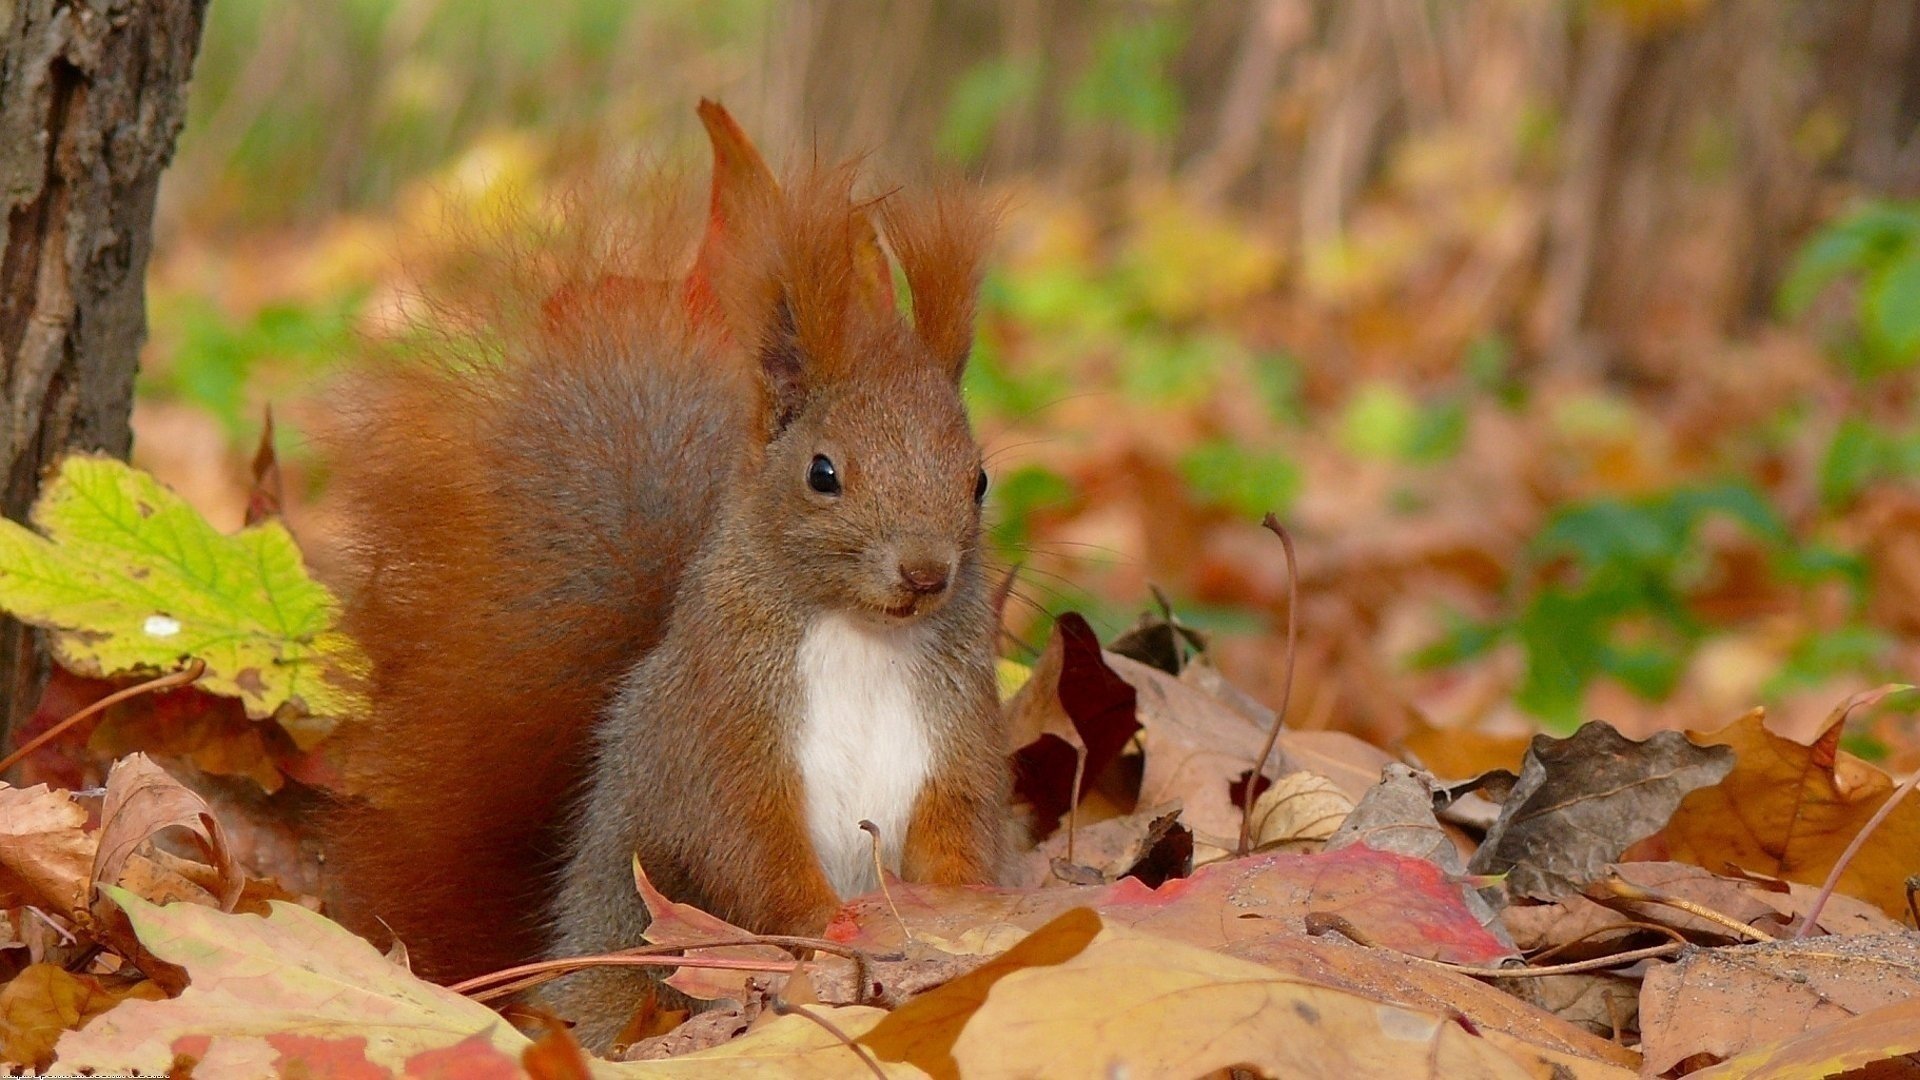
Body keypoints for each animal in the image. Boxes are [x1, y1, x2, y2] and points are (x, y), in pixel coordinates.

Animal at [316, 101, 1009, 1049]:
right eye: (823, 473)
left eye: (978, 479)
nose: (926, 572)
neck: (863, 635)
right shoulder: (721, 733)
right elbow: (749, 850)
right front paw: (831, 929)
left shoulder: (956, 734)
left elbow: (957, 837)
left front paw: (967, 918)